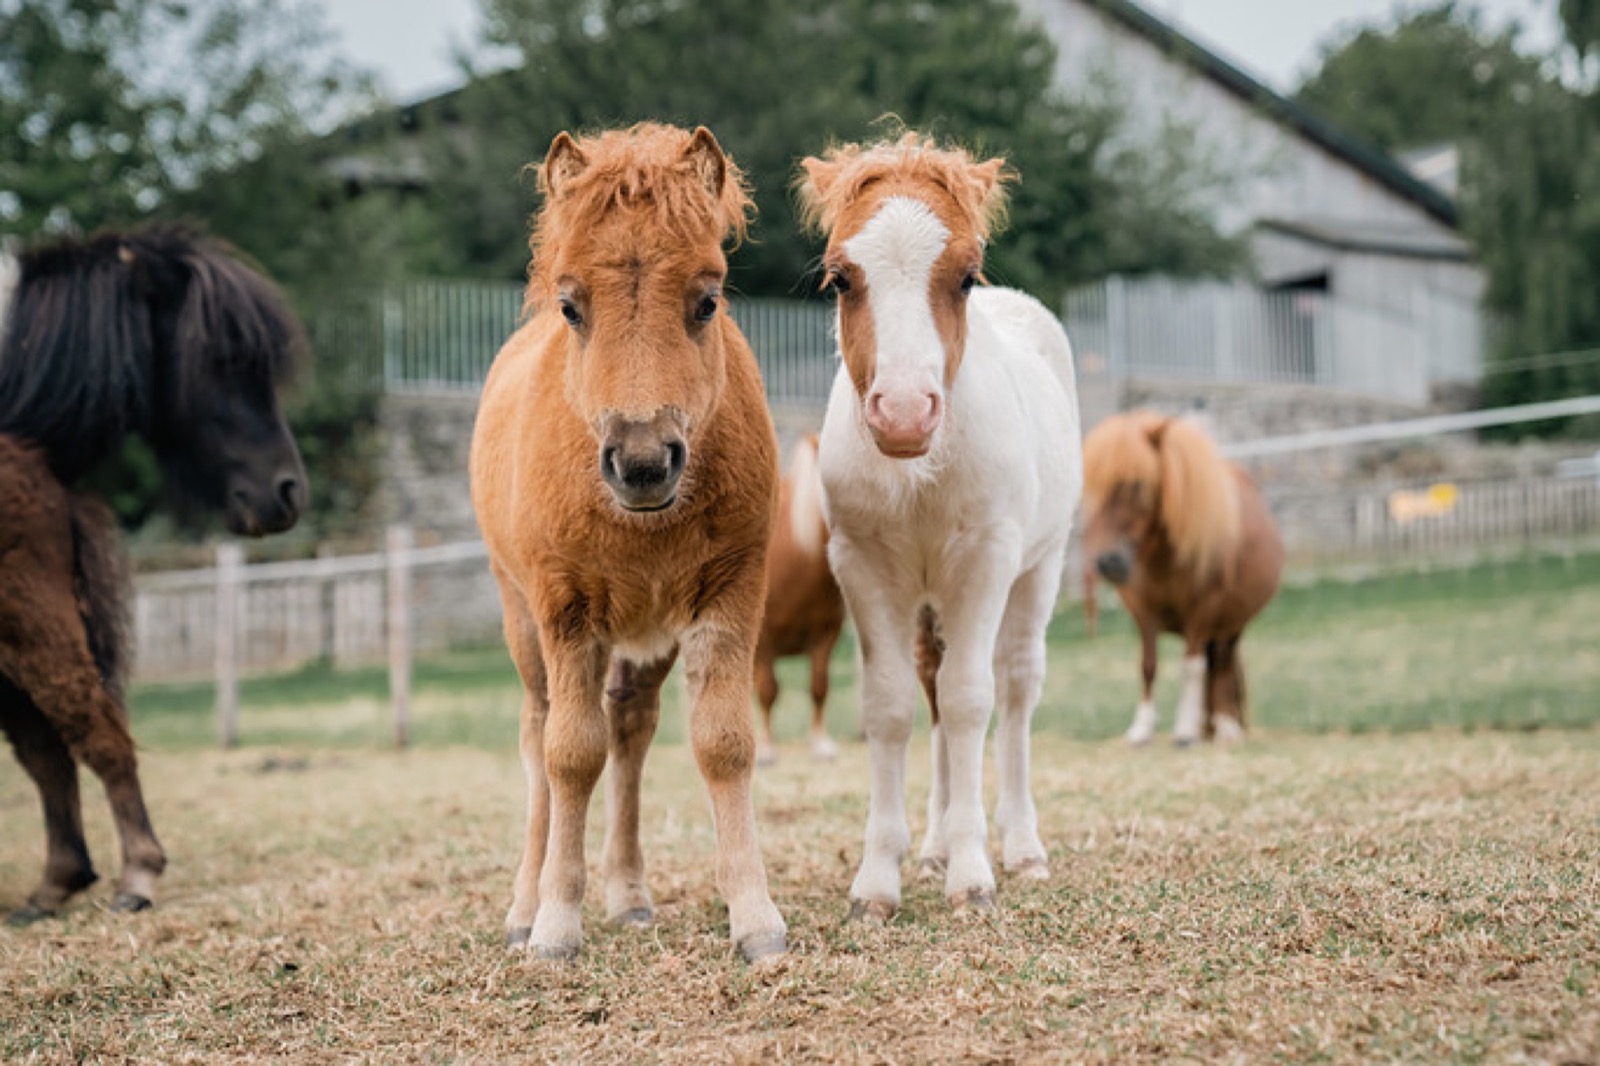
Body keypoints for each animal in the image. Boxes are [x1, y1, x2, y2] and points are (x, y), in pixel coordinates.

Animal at [469, 124, 787, 962]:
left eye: (707, 300)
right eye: (571, 305)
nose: (642, 461)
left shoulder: (729, 592)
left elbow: (722, 742)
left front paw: (756, 918)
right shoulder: (563, 606)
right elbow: (569, 755)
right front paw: (554, 924)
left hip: (646, 638)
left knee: (631, 730)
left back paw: (630, 895)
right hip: (521, 617)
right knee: (539, 735)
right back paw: (525, 905)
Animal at [753, 432, 845, 766]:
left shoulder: (825, 637)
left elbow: (819, 686)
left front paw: (821, 743)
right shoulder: (763, 643)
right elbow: (768, 691)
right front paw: (766, 748)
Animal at [797, 132, 1083, 919]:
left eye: (965, 277)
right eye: (839, 279)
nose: (902, 414)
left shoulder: (986, 561)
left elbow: (969, 700)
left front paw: (974, 875)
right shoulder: (863, 567)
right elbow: (895, 704)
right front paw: (879, 879)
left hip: (1040, 568)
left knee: (1014, 687)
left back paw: (1022, 845)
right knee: (931, 680)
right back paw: (932, 844)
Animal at [1080, 411, 1284, 746]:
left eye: (1138, 485)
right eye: (1091, 489)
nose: (1109, 562)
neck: (1165, 560)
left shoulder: (1203, 611)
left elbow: (1191, 667)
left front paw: (1186, 731)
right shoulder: (1143, 612)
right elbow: (1148, 666)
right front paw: (1142, 729)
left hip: (1232, 624)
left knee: (1222, 664)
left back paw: (1225, 726)